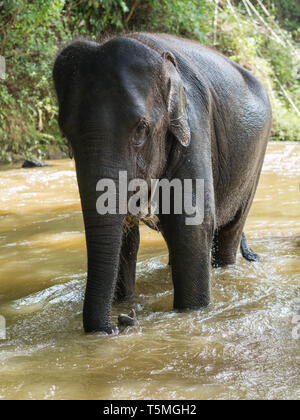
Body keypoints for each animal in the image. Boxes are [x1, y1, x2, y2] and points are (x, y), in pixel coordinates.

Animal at [52, 32, 272, 334]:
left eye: (141, 129)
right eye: (66, 133)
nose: (121, 322)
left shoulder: (195, 128)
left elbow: (192, 229)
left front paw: (191, 311)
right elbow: (126, 239)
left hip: (254, 162)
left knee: (230, 233)